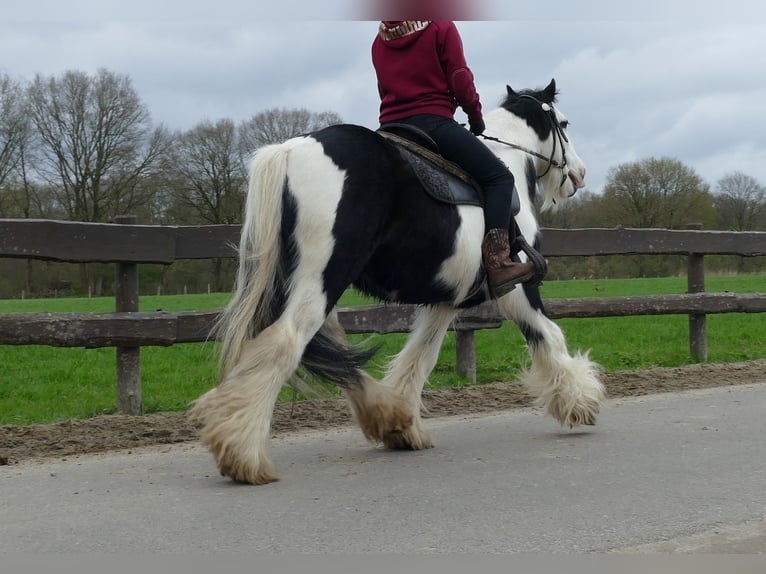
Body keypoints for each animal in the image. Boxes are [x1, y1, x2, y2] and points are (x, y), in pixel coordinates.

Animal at [190, 79, 608, 484]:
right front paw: (580, 401)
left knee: (321, 351)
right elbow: (549, 335)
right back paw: (242, 454)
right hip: (322, 279)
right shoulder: (517, 287)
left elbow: (420, 355)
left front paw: (403, 425)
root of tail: (289, 150)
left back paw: (383, 412)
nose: (579, 175)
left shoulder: (446, 300)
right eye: (564, 123)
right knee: (287, 343)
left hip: (294, 282)